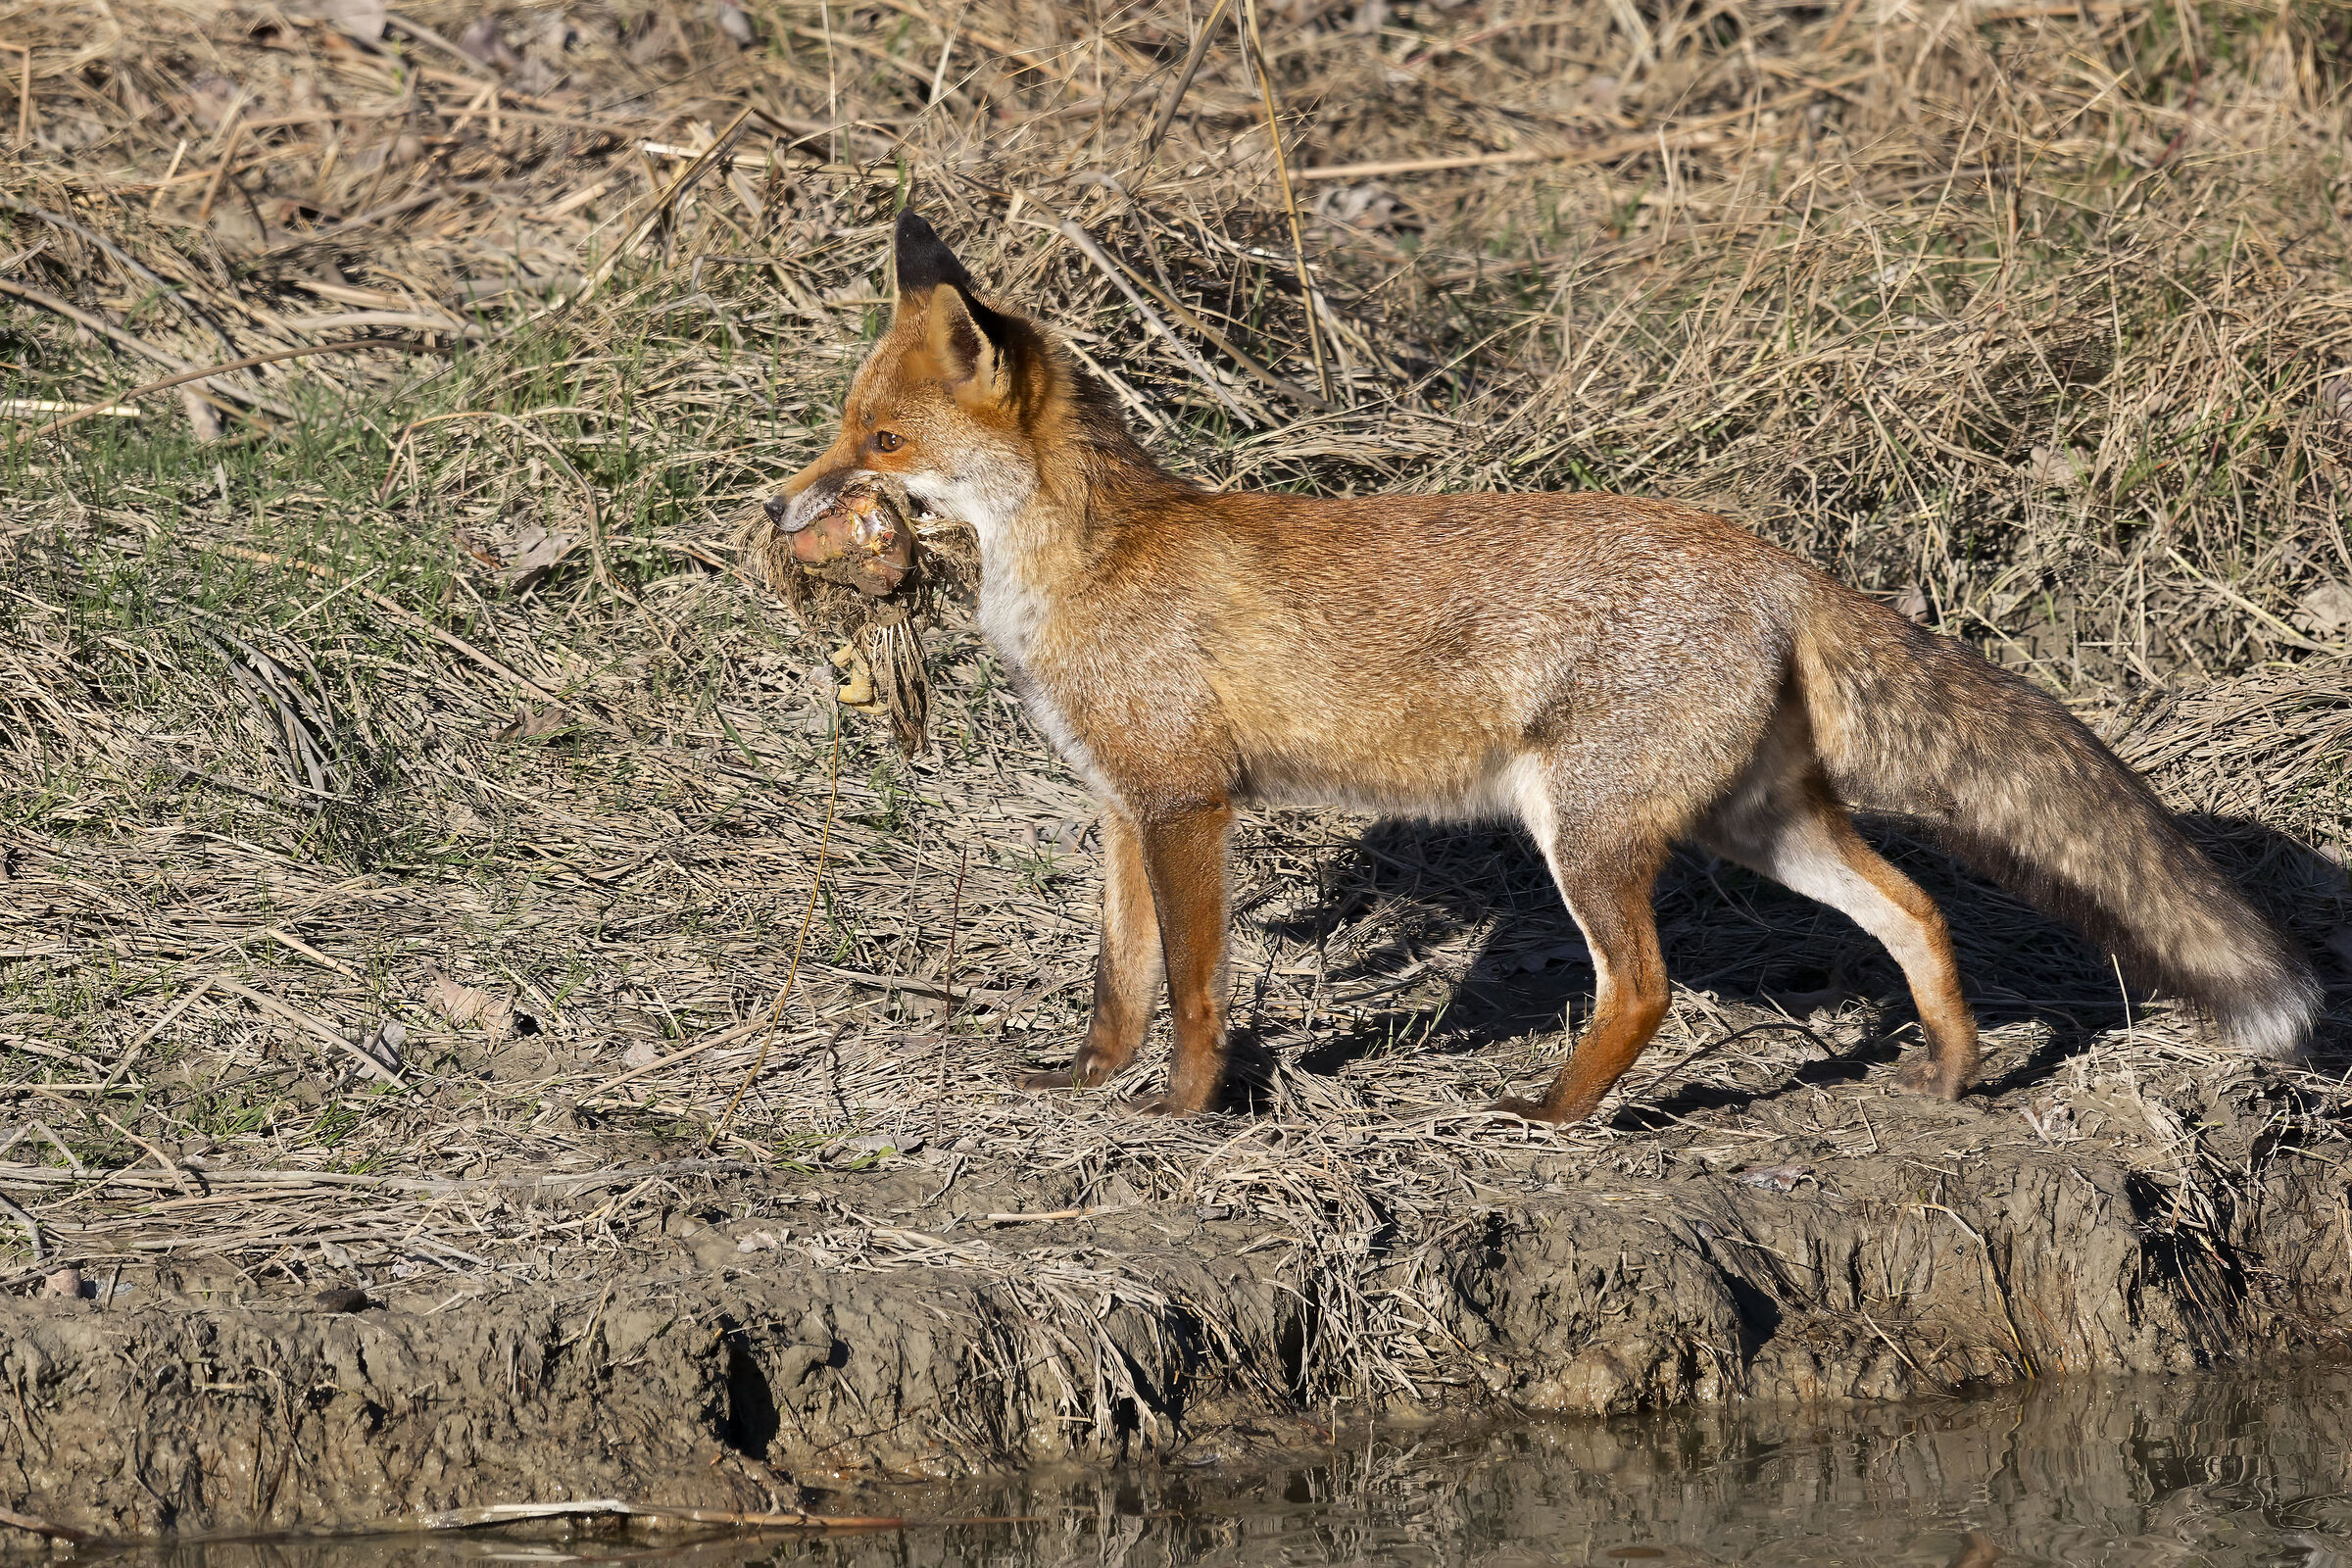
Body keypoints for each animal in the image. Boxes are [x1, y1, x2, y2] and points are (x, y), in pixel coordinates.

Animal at [767, 209, 2321, 1123]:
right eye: (844, 428)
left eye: (882, 444)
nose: (783, 510)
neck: (1088, 569)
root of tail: (1772, 556)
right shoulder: (1119, 809)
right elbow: (1118, 980)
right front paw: (1085, 1082)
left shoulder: (1186, 803)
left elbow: (1195, 989)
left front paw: (1185, 1112)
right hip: (1757, 823)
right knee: (1917, 907)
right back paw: (1951, 1071)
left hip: (1585, 831)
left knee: (1646, 988)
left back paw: (1557, 1115)